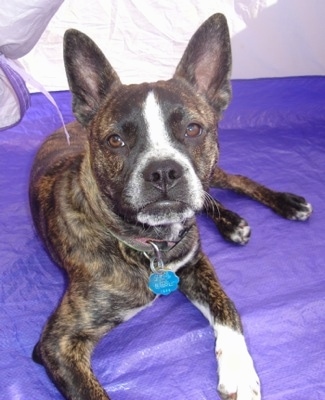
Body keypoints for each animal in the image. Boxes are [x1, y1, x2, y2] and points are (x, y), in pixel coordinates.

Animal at [30, 13, 312, 400]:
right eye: (115, 140)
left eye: (193, 129)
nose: (163, 170)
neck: (150, 244)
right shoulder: (58, 343)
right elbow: (91, 392)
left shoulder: (196, 264)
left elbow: (227, 307)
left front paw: (239, 371)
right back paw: (233, 221)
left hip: (214, 175)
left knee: (233, 184)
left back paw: (281, 204)